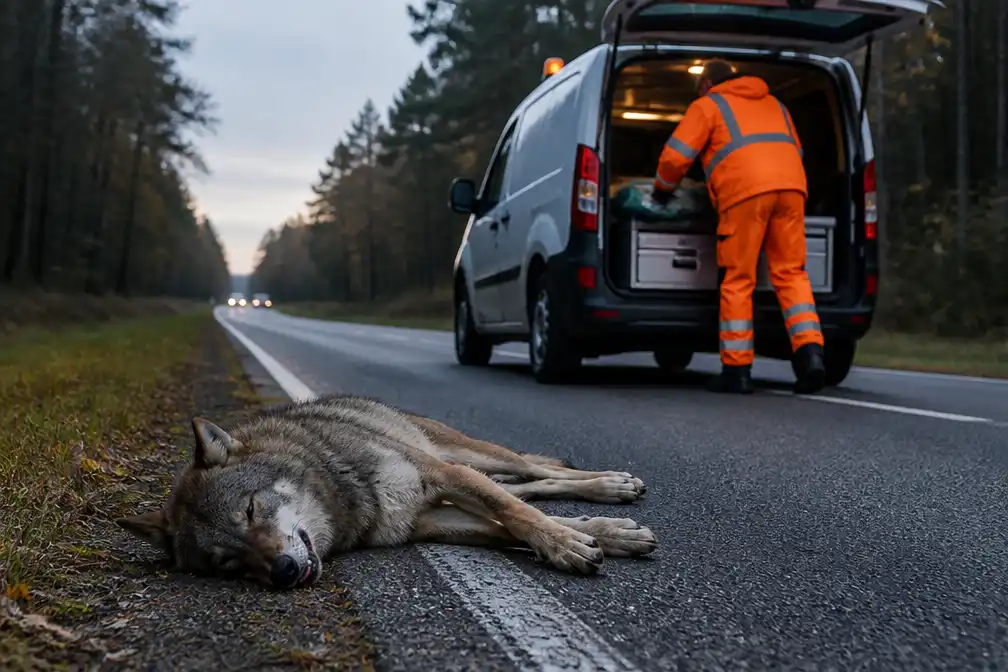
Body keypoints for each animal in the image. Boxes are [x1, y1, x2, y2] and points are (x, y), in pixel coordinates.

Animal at [116, 394, 657, 589]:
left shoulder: (442, 477)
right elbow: (513, 523)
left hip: (473, 458)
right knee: (534, 486)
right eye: (228, 563)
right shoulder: (432, 519)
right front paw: (604, 537)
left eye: (250, 510)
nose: (284, 572)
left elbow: (518, 516)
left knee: (536, 472)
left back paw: (614, 483)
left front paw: (575, 544)